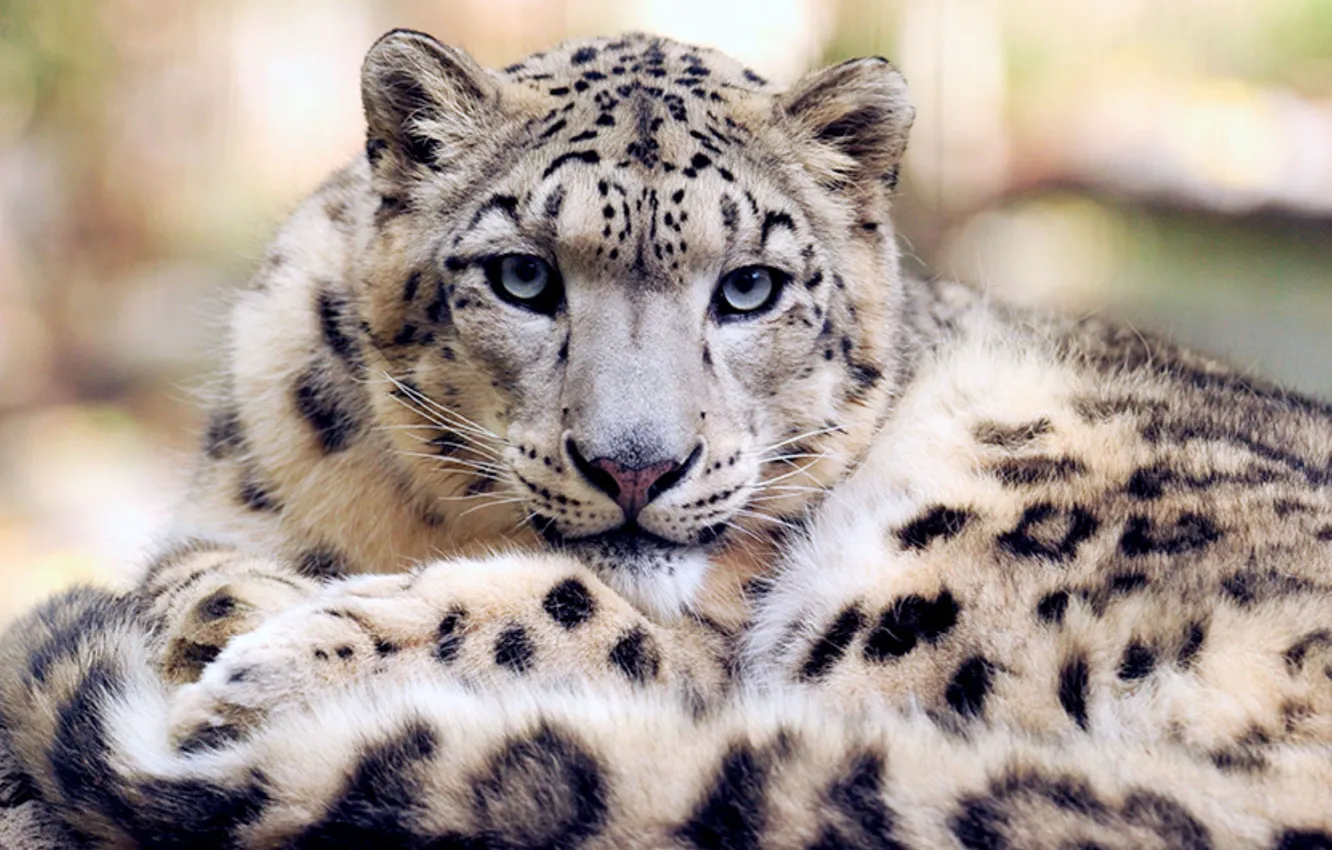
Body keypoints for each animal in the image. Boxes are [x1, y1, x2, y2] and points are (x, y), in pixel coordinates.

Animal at [1, 28, 1331, 849]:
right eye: (523, 275)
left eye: (748, 287)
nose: (636, 464)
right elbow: (193, 566)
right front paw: (235, 612)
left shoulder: (707, 641)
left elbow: (565, 611)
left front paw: (274, 657)